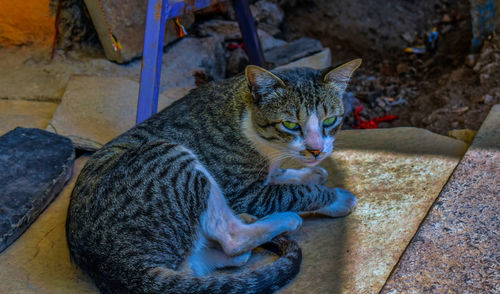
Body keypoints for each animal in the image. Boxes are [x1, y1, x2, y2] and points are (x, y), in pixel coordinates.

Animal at [66, 58, 362, 292]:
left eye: (329, 121)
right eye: (290, 124)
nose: (316, 149)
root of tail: (114, 266)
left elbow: (281, 176)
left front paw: (309, 172)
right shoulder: (244, 193)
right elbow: (293, 193)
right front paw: (335, 197)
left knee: (206, 263)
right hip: (172, 156)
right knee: (232, 239)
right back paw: (282, 220)